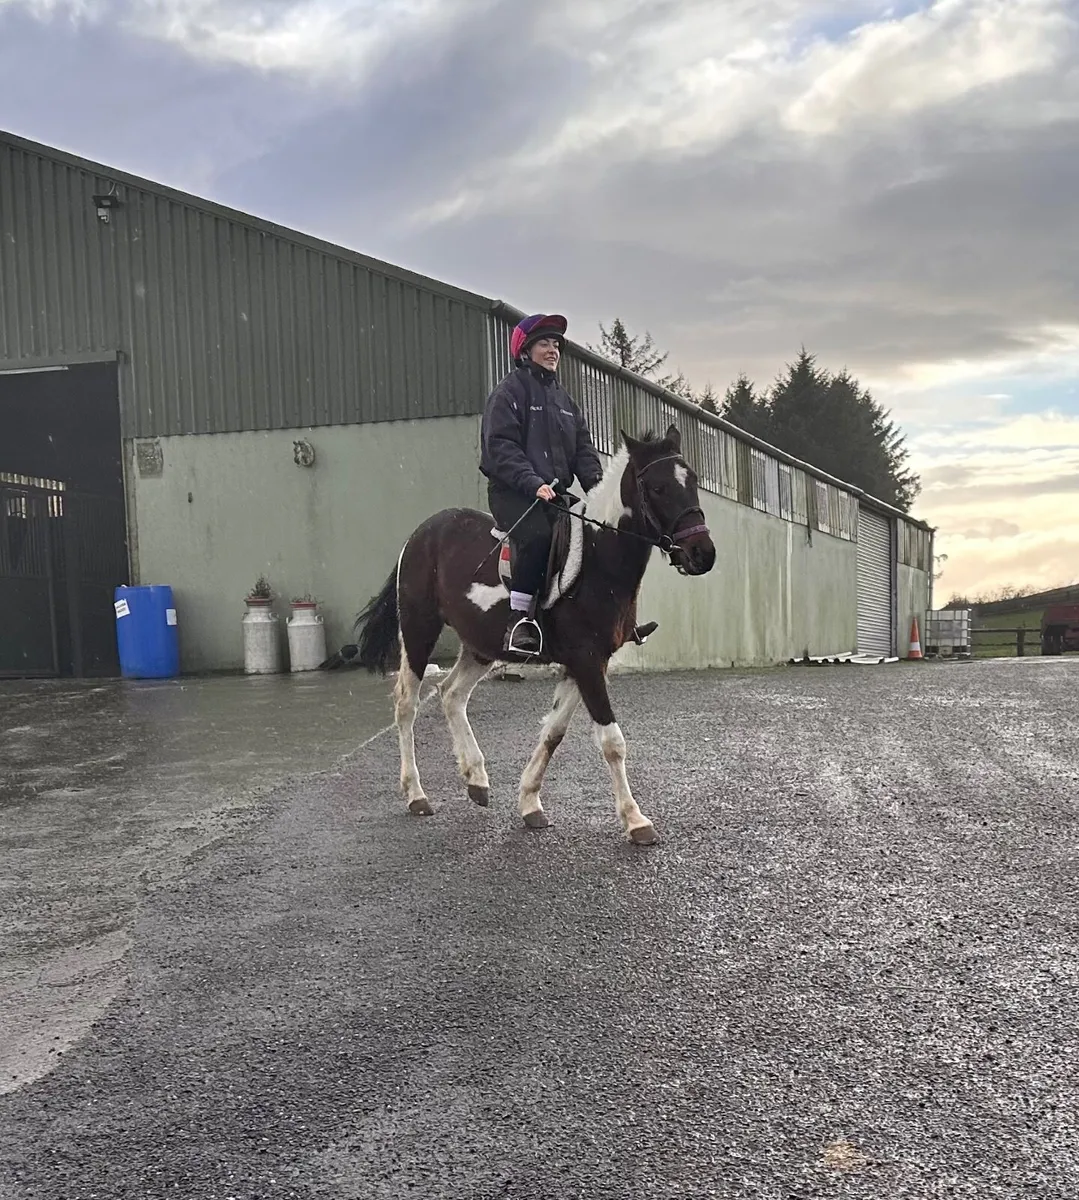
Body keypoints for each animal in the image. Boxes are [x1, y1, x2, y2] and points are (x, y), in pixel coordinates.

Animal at [325, 425, 716, 844]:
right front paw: (635, 820)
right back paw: (416, 795)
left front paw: (530, 802)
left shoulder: (584, 663)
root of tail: (419, 535)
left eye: (693, 480)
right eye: (658, 487)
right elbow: (612, 741)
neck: (599, 560)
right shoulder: (586, 660)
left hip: (481, 645)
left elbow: (553, 732)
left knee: (451, 694)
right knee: (407, 703)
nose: (703, 553)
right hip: (418, 630)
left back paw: (476, 780)